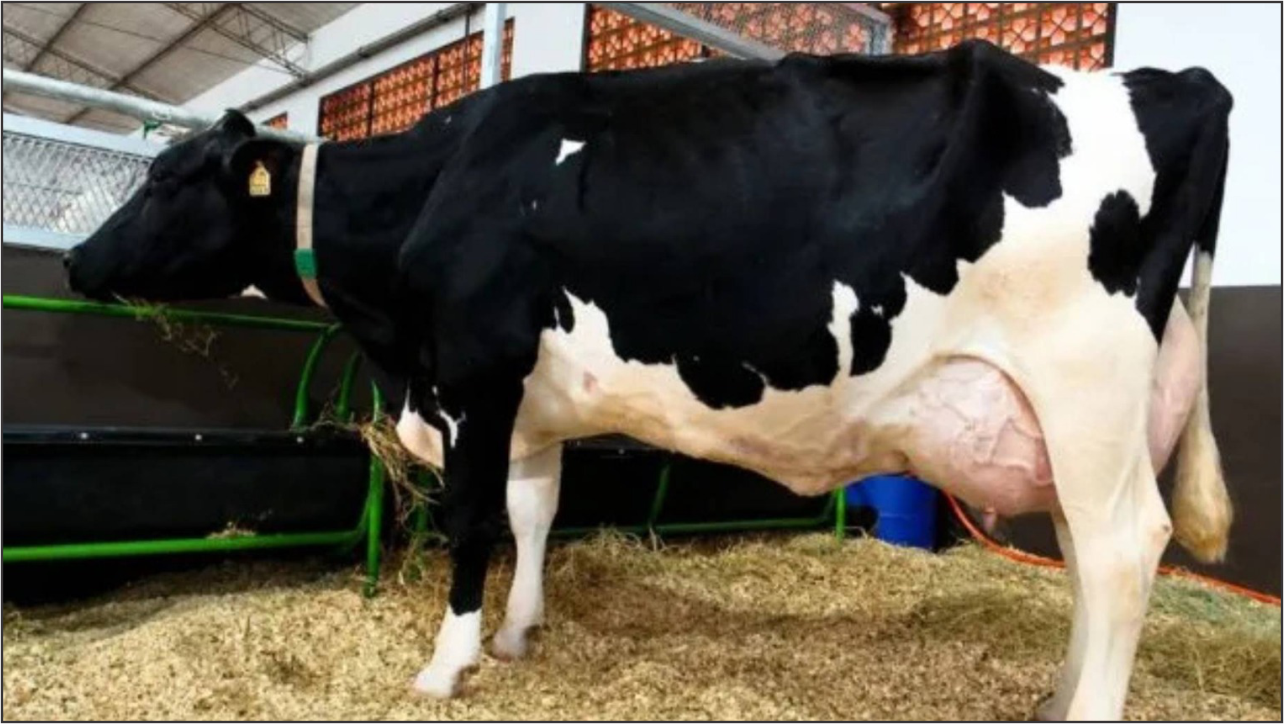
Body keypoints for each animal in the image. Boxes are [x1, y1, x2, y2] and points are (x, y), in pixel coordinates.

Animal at [64, 39, 1233, 720]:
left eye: (162, 179)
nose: (74, 262)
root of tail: (1177, 81)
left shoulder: (475, 373)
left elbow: (474, 521)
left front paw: (449, 663)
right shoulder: (529, 402)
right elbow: (537, 511)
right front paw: (520, 633)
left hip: (1085, 385)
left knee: (1123, 550)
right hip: (1080, 419)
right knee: (1086, 555)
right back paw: (1054, 700)